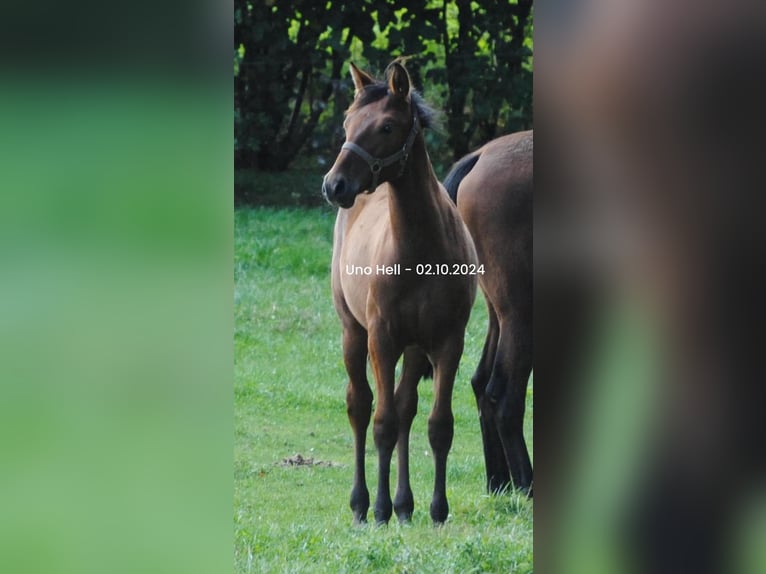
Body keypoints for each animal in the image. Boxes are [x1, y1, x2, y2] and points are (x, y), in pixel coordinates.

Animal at [324, 63, 480, 528]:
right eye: (346, 125)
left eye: (387, 127)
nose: (334, 185)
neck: (420, 248)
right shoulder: (382, 338)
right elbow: (382, 423)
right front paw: (378, 510)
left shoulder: (448, 342)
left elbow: (437, 424)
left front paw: (437, 509)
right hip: (354, 333)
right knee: (360, 407)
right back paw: (362, 504)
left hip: (413, 349)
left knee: (407, 408)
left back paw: (406, 505)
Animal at [444, 130, 536, 496]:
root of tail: (481, 156)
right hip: (520, 314)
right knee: (504, 395)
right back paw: (525, 483)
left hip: (500, 314)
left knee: (482, 383)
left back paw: (499, 481)